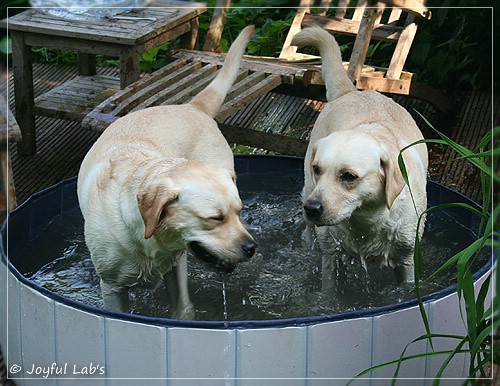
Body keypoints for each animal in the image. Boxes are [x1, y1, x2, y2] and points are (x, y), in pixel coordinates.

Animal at [79, 25, 258, 318]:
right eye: (215, 218)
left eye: (239, 212)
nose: (251, 248)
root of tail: (190, 106)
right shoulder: (112, 287)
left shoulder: (176, 264)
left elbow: (183, 308)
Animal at [292, 26, 428, 290]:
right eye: (318, 169)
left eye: (348, 176)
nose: (312, 208)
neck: (366, 218)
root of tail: (350, 91)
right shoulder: (331, 254)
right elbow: (329, 290)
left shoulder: (407, 259)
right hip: (308, 192)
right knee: (308, 232)